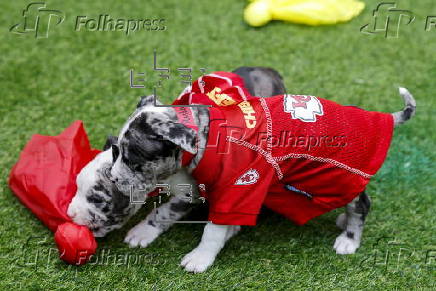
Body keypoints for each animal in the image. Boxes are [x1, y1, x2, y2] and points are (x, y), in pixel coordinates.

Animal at [110, 86, 418, 274]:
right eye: (116, 151)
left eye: (134, 159)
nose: (112, 179)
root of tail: (381, 118)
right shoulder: (198, 187)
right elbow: (164, 212)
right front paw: (143, 231)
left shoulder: (240, 185)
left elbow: (212, 229)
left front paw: (200, 258)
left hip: (337, 174)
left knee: (361, 204)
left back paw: (349, 240)